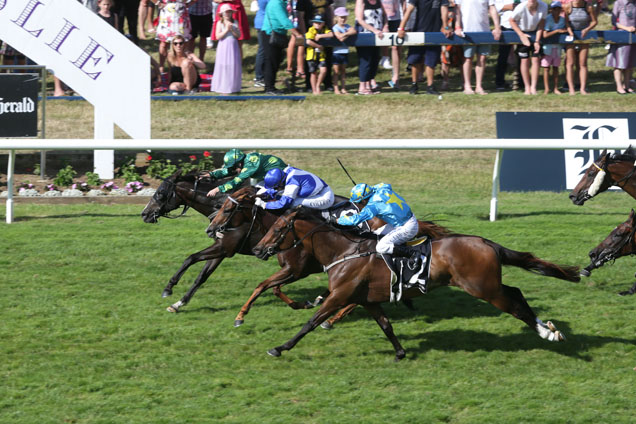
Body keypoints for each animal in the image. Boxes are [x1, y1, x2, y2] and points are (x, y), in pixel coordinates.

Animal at [206, 186, 450, 328]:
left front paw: (240, 316)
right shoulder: (293, 270)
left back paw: (331, 319)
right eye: (221, 205)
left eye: (227, 209)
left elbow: (263, 285)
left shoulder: (295, 269)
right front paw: (304, 303)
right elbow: (273, 289)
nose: (210, 229)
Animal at [251, 207, 580, 360]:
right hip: (487, 286)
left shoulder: (340, 295)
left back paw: (548, 333)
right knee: (516, 294)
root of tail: (486, 242)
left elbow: (311, 322)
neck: (344, 252)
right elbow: (386, 325)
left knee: (515, 303)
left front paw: (279, 348)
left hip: (483, 288)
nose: (258, 249)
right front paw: (400, 352)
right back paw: (550, 329)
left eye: (278, 228)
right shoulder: (367, 299)